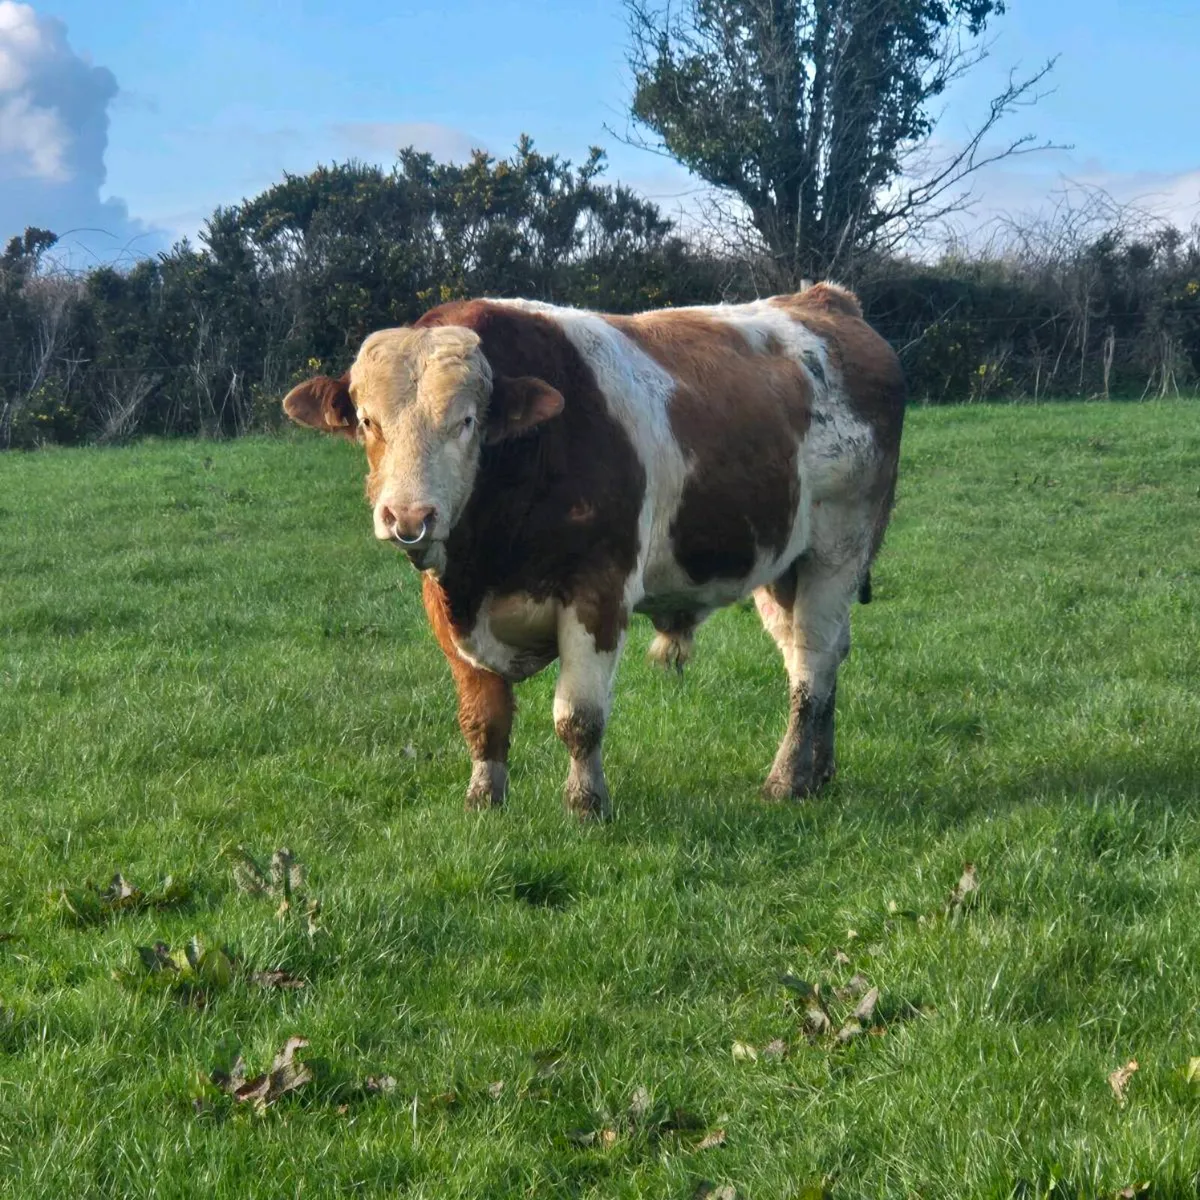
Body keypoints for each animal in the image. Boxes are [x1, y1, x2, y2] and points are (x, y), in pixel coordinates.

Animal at [282, 285, 904, 820]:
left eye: (466, 421)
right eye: (368, 422)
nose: (408, 517)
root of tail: (823, 299)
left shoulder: (598, 591)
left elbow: (578, 718)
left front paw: (586, 805)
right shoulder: (447, 607)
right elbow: (483, 718)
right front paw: (484, 802)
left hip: (839, 549)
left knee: (812, 661)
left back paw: (789, 778)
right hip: (782, 565)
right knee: (813, 655)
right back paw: (819, 771)